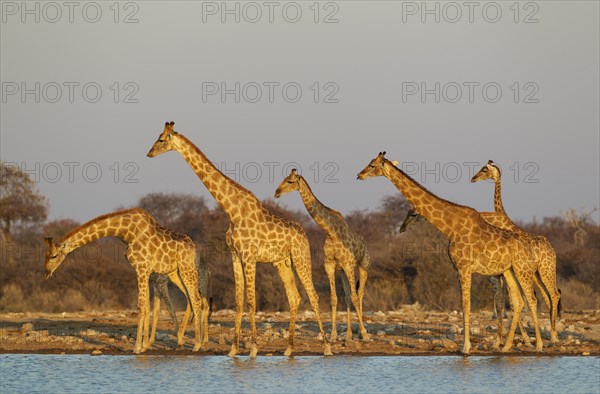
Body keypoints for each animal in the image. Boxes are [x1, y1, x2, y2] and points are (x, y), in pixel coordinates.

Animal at [44, 209, 209, 354]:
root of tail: (194, 248)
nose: (46, 272)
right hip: (175, 273)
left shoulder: (142, 268)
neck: (125, 232)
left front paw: (137, 348)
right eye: (44, 254)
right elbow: (147, 306)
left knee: (196, 298)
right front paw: (144, 346)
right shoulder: (145, 271)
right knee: (192, 298)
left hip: (187, 269)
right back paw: (187, 341)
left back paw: (197, 345)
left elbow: (141, 306)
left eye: (53, 255)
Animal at [146, 121, 332, 358]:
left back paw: (327, 347)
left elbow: (252, 301)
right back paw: (289, 349)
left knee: (313, 296)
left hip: (301, 257)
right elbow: (238, 301)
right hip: (282, 262)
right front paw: (234, 349)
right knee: (294, 297)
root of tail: (304, 234)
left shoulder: (250, 256)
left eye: (161, 139)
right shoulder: (235, 255)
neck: (232, 210)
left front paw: (253, 348)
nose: (149, 153)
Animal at [276, 168, 370, 340]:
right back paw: (348, 334)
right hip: (344, 272)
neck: (331, 231)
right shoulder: (330, 265)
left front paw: (365, 334)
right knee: (348, 297)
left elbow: (354, 297)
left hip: (363, 266)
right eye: (284, 179)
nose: (277, 192)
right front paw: (332, 335)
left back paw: (362, 332)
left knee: (359, 295)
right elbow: (334, 299)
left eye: (290, 181)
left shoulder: (348, 264)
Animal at [356, 152, 544, 354]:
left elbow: (466, 306)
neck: (451, 227)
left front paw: (466, 348)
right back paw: (506, 347)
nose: (359, 175)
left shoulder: (465, 267)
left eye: (372, 165)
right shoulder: (457, 268)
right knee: (518, 302)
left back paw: (539, 345)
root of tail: (531, 248)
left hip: (523, 270)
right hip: (509, 271)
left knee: (532, 299)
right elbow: (463, 306)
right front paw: (466, 346)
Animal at [472, 159, 560, 344]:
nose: (473, 178)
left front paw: (514, 338)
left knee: (554, 295)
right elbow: (511, 301)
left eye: (484, 170)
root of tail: (552, 250)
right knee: (548, 297)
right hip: (538, 275)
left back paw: (553, 337)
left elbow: (513, 302)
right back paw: (552, 334)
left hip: (546, 270)